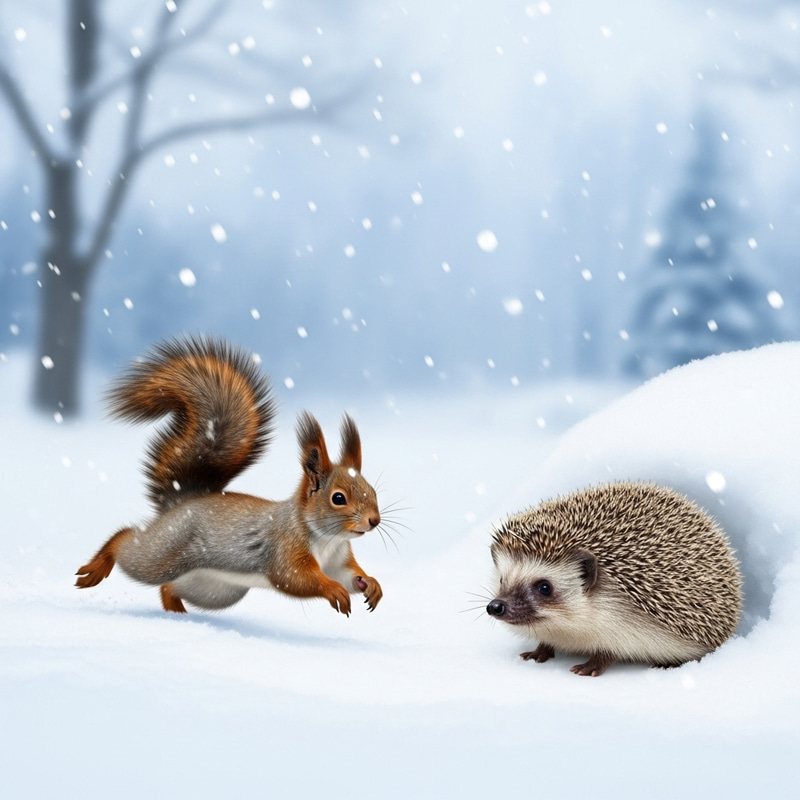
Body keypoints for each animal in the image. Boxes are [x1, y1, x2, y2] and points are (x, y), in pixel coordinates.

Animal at [75, 336, 383, 616]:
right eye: (338, 498)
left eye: (373, 492)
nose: (374, 520)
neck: (328, 540)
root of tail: (182, 501)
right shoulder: (286, 548)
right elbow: (294, 577)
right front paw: (333, 590)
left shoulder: (337, 561)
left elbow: (349, 576)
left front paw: (371, 584)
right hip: (164, 554)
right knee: (128, 543)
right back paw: (98, 566)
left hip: (213, 588)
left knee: (168, 587)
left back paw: (177, 613)